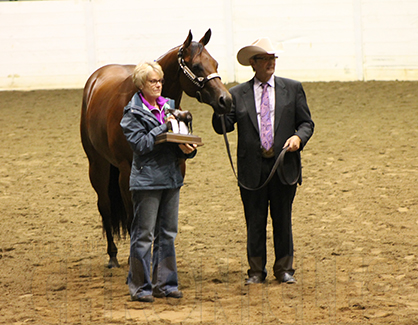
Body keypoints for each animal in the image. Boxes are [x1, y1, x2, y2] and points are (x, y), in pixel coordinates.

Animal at [81, 29, 232, 268]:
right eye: (197, 66)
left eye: (215, 63)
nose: (225, 100)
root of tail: (94, 80)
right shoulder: (126, 173)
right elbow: (134, 219)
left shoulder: (178, 168)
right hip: (98, 165)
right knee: (104, 205)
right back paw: (112, 256)